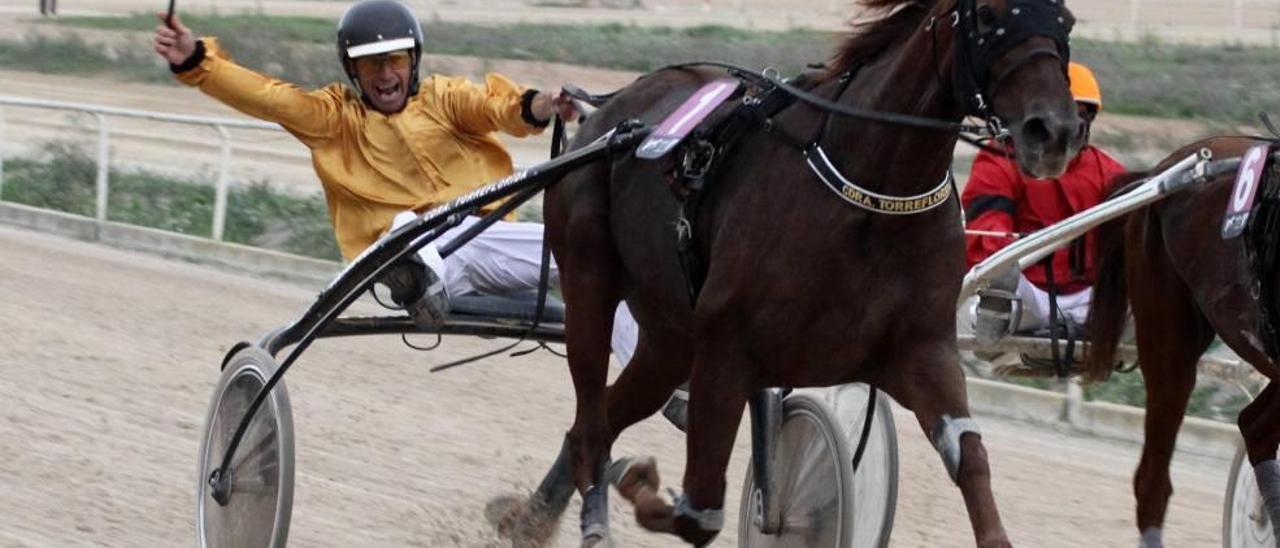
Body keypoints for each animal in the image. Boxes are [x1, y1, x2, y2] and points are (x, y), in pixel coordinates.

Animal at [499, 2, 1080, 545]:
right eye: (987, 15)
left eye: (1066, 19)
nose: (1054, 131)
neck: (870, 196)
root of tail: (612, 111)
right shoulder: (728, 351)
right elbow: (699, 513)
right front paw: (638, 479)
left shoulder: (922, 351)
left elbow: (971, 459)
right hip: (590, 283)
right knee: (592, 427)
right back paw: (586, 517)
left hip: (670, 336)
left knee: (600, 421)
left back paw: (532, 517)